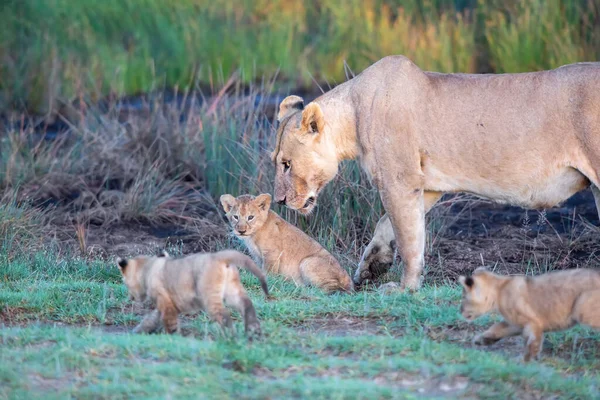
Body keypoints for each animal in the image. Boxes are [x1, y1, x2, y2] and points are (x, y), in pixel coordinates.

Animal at [270, 55, 600, 290]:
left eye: (287, 164)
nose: (279, 201)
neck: (353, 115)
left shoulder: (399, 181)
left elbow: (408, 239)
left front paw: (404, 289)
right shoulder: (425, 187)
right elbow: (388, 227)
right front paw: (370, 268)